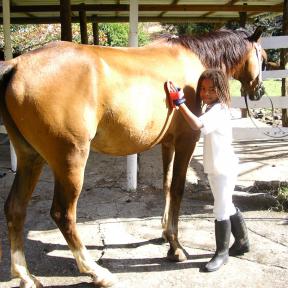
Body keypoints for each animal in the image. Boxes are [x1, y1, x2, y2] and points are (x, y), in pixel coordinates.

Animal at [0, 26, 266, 286]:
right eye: (262, 57)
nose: (259, 91)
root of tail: (17, 65)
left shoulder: (167, 143)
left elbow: (166, 184)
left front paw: (165, 234)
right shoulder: (186, 141)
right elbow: (178, 188)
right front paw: (176, 248)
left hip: (30, 158)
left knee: (15, 208)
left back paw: (25, 275)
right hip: (70, 161)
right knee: (62, 214)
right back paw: (96, 272)